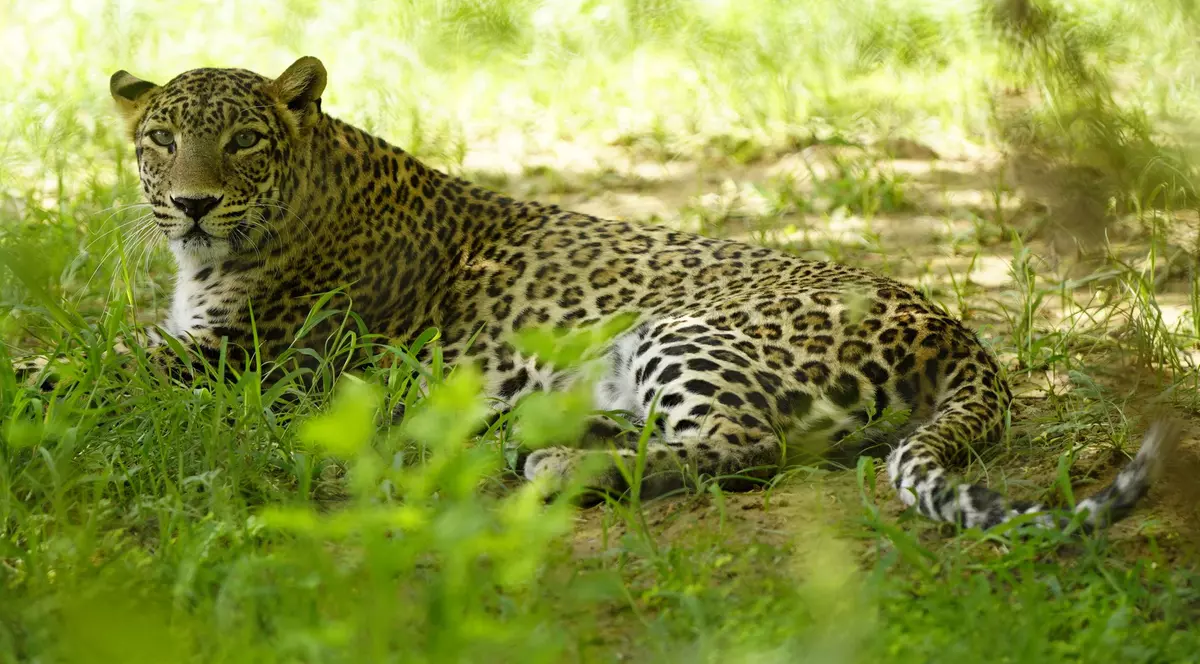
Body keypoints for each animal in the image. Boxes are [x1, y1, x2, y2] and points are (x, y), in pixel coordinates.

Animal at [40, 55, 1177, 532]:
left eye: (243, 140)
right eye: (159, 138)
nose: (192, 203)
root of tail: (956, 327)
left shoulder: (237, 361)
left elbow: (71, 368)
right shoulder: (200, 344)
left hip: (681, 327)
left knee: (742, 448)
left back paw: (550, 466)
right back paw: (535, 444)